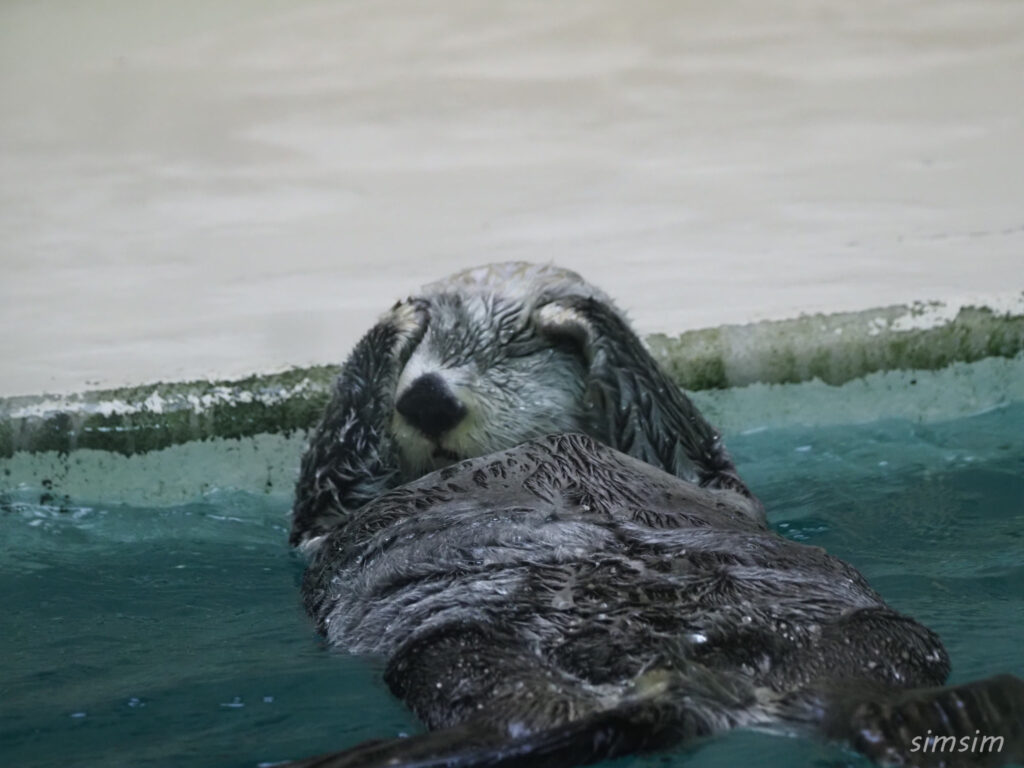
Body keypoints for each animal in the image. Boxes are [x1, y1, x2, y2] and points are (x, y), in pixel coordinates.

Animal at [282, 266, 1024, 768]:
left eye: (515, 352)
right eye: (419, 363)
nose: (425, 396)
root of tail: (686, 684)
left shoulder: (700, 471)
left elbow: (676, 427)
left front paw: (570, 308)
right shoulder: (331, 519)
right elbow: (329, 476)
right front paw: (398, 322)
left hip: (867, 632)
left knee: (858, 680)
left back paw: (943, 716)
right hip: (456, 647)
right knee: (524, 713)